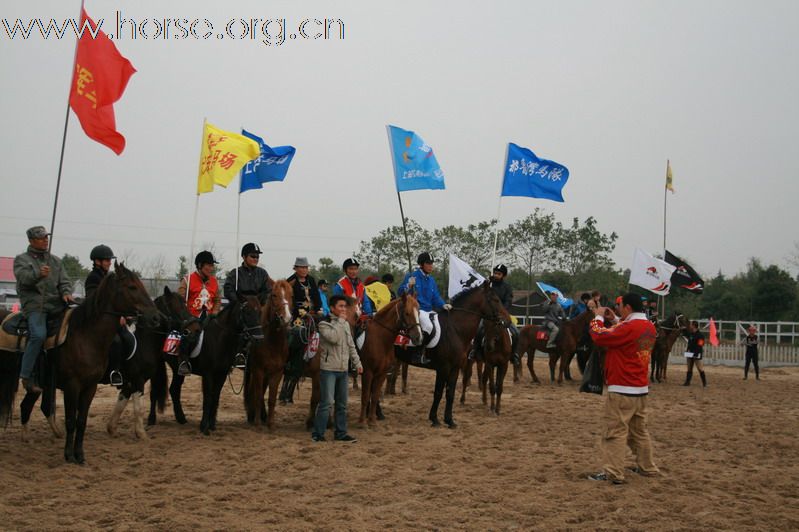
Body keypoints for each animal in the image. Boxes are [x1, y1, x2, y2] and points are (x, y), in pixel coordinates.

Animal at [0, 264, 161, 464]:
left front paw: (81, 454)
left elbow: (82, 421)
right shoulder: (74, 386)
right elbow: (71, 420)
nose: (155, 317)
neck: (85, 337)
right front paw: (69, 455)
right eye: (132, 287)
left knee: (30, 406)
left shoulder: (91, 386)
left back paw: (36, 437)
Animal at [108, 288, 203, 438]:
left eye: (185, 303)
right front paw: (141, 434)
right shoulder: (137, 380)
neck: (142, 341)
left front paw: (112, 429)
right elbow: (138, 407)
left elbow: (121, 403)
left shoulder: (130, 382)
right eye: (174, 306)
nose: (196, 329)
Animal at [245, 280, 296, 430]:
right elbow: (258, 395)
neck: (272, 343)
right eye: (274, 295)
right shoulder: (258, 370)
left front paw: (270, 423)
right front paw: (257, 423)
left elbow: (272, 398)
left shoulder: (277, 372)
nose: (286, 318)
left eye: (291, 295)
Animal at [360, 294, 424, 426]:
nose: (418, 338)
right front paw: (363, 421)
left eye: (419, 312)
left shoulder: (382, 373)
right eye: (407, 313)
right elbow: (365, 396)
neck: (379, 338)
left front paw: (372, 420)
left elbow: (375, 396)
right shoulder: (367, 372)